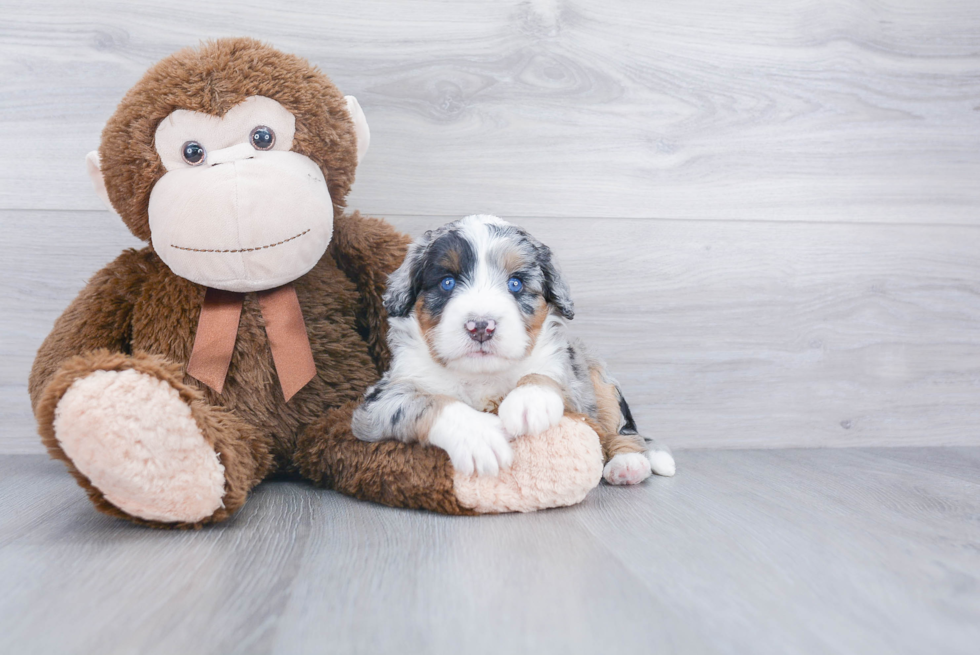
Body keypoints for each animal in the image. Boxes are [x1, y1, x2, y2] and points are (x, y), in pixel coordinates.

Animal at [350, 217, 672, 486]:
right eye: (447, 282)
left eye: (515, 283)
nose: (481, 326)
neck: (480, 375)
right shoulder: (376, 403)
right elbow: (423, 401)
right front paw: (477, 436)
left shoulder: (574, 385)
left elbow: (547, 376)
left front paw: (530, 400)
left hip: (599, 378)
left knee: (623, 430)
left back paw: (628, 464)